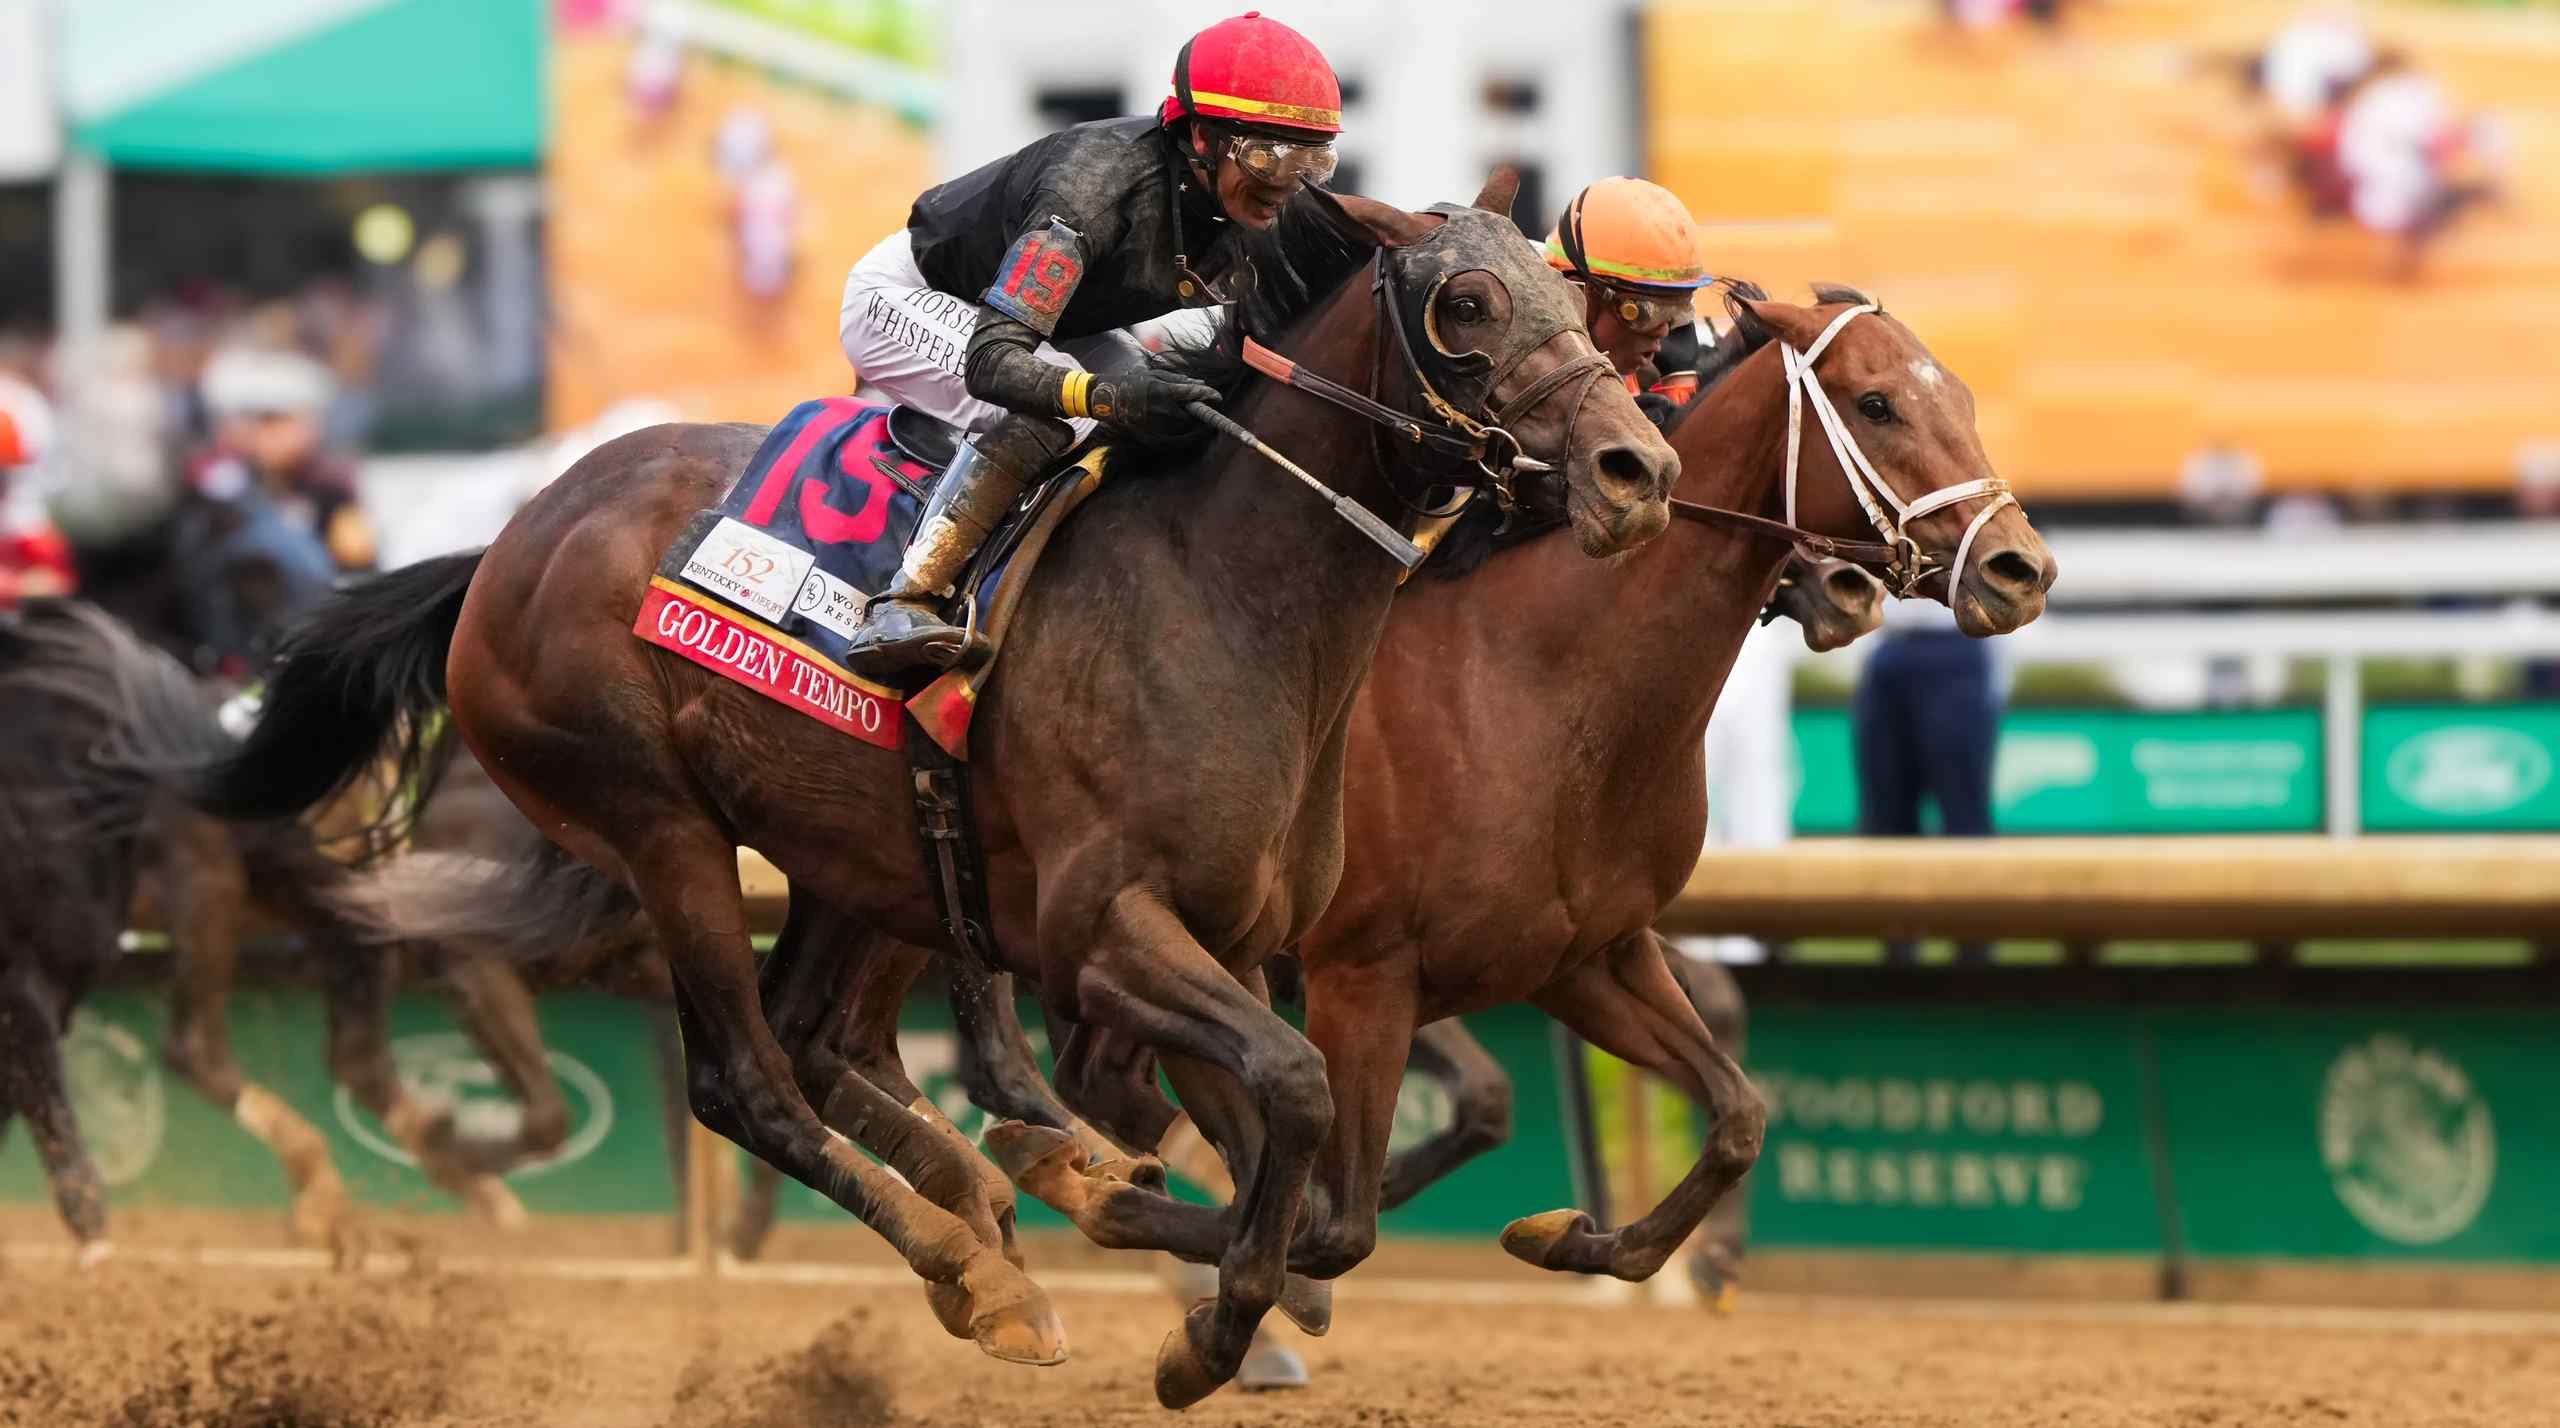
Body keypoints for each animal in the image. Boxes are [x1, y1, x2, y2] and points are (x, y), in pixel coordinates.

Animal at [187, 175, 1678, 1406]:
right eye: (1466, 303)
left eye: (1574, 298)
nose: (1638, 469)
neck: (1223, 595)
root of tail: (505, 540)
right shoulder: (1104, 931)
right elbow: (1293, 1104)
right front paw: (1183, 1307)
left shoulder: (1245, 942)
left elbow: (1313, 1192)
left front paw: (1148, 1221)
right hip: (660, 825)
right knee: (744, 1080)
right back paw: (974, 1263)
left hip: (856, 849)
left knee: (816, 1039)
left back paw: (982, 1219)